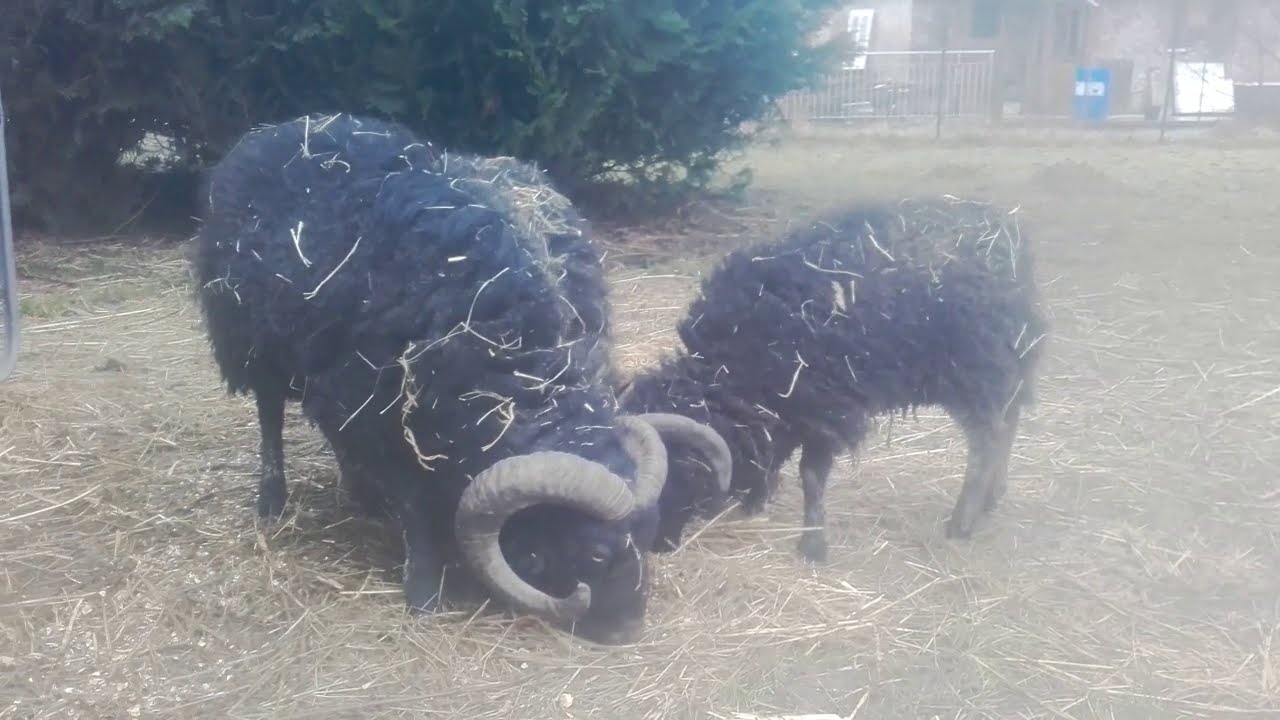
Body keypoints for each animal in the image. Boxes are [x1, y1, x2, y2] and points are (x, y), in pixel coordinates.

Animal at [190, 112, 732, 644]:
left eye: (651, 532)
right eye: (596, 554)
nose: (627, 631)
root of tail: (279, 128)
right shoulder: (391, 420)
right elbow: (413, 507)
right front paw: (424, 593)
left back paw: (361, 497)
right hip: (251, 342)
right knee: (270, 415)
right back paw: (272, 500)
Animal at [619, 195, 1047, 561]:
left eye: (670, 478)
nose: (657, 546)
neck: (731, 367)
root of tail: (1010, 240)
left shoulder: (824, 407)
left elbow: (811, 476)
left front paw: (813, 547)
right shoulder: (789, 409)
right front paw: (756, 502)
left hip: (975, 369)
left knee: (988, 441)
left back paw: (962, 522)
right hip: (1003, 367)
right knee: (1008, 423)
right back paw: (993, 498)